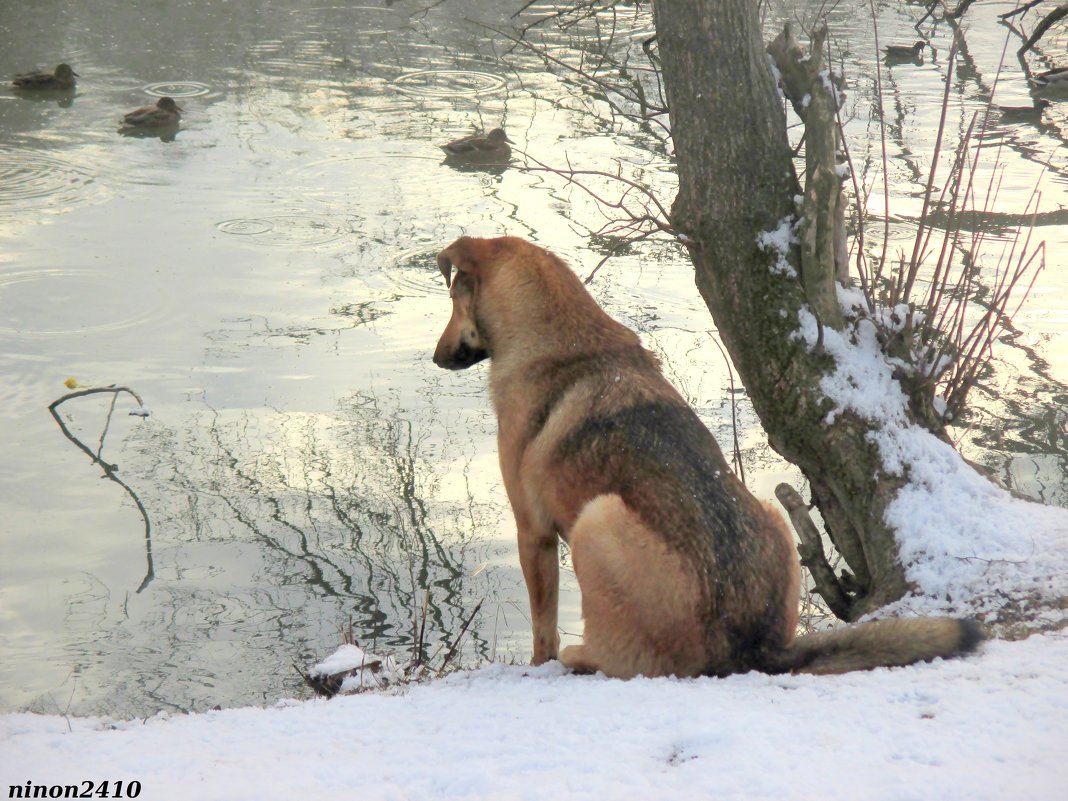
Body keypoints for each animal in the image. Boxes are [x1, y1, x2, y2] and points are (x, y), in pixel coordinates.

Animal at [429, 234, 978, 679]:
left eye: (453, 298)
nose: (436, 357)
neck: (562, 339)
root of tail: (754, 649)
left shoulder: (534, 532)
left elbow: (543, 626)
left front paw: (538, 663)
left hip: (596, 520)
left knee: (634, 664)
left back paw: (583, 657)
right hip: (772, 511)